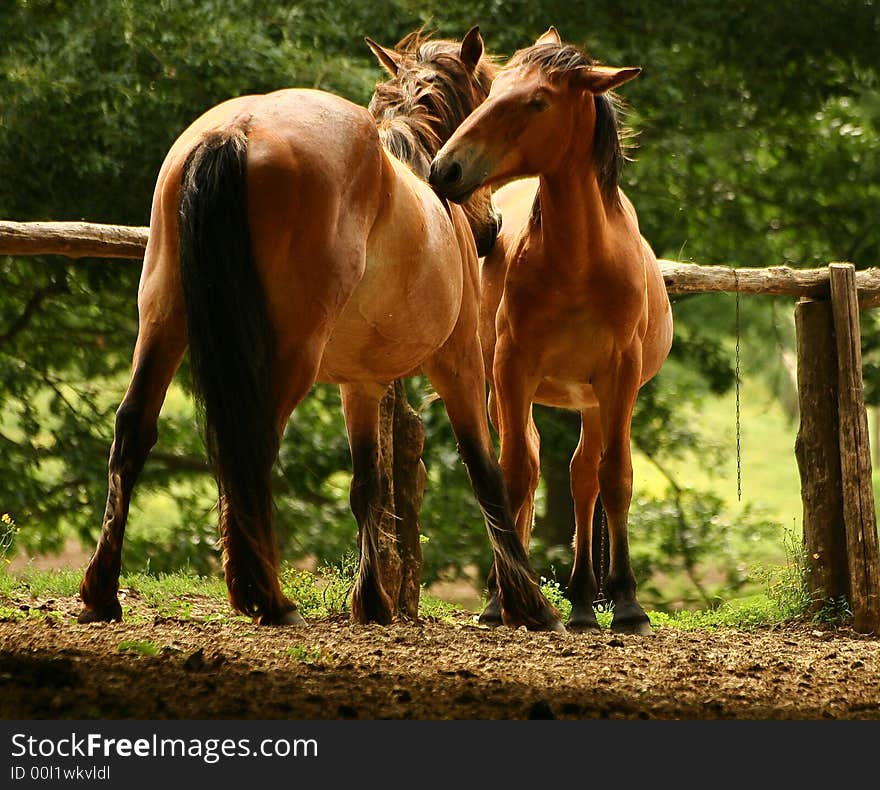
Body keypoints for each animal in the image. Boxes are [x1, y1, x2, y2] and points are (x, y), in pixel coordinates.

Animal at [81, 24, 564, 636]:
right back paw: (268, 598)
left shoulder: (361, 384)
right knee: (251, 446)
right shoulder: (458, 365)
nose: (491, 228)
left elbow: (367, 486)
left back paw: (102, 593)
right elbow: (486, 474)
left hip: (163, 321)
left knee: (133, 431)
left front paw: (373, 602)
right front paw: (530, 604)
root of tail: (237, 131)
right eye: (485, 104)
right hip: (289, 354)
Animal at [432, 27, 672, 636]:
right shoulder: (512, 370)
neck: (579, 262)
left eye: (536, 101)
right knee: (536, 468)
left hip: (594, 400)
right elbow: (514, 476)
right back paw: (514, 598)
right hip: (514, 392)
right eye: (493, 91)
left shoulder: (620, 376)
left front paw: (628, 605)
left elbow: (616, 476)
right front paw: (510, 600)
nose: (445, 169)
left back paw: (586, 601)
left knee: (584, 476)